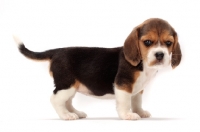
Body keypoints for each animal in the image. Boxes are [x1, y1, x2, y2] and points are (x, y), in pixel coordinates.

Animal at [13, 18, 181, 120]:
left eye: (168, 43)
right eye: (147, 42)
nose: (159, 54)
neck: (144, 65)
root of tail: (56, 51)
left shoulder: (138, 89)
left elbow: (137, 101)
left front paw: (140, 112)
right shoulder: (123, 85)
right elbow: (125, 102)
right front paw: (127, 115)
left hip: (72, 87)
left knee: (67, 101)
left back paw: (75, 113)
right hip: (66, 84)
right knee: (55, 99)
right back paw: (66, 115)